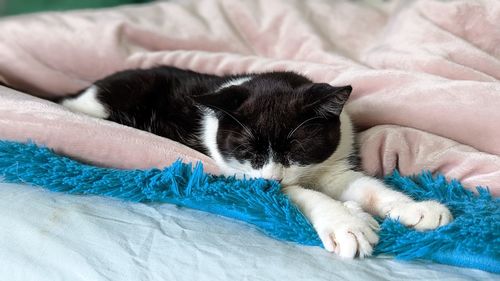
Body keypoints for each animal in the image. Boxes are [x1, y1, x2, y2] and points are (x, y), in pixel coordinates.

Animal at [59, 66, 454, 258]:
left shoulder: (333, 161)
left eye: (296, 150)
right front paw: (348, 223)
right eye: (248, 152)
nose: (272, 178)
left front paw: (418, 208)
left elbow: (365, 186)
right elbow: (298, 193)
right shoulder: (241, 176)